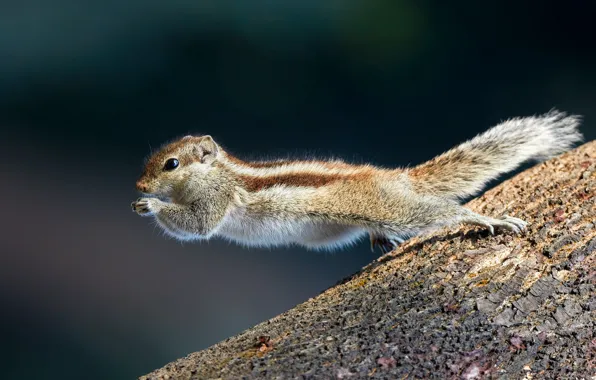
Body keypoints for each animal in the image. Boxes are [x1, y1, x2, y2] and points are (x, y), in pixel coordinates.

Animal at [130, 110, 584, 252]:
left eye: (171, 164)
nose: (139, 188)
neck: (220, 170)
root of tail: (395, 177)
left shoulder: (217, 197)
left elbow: (198, 225)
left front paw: (152, 206)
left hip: (395, 207)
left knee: (444, 212)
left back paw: (486, 219)